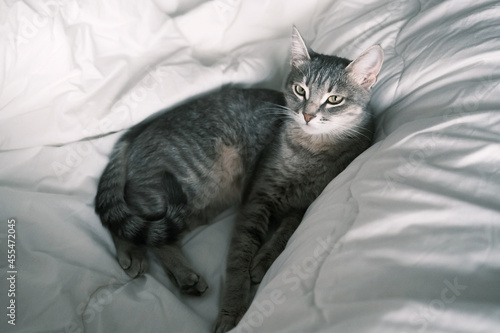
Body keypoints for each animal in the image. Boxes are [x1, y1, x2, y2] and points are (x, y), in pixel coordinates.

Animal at [94, 26, 382, 332]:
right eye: (300, 90)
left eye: (334, 99)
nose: (307, 114)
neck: (309, 150)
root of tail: (139, 130)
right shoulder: (256, 199)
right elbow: (239, 257)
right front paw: (232, 312)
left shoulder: (303, 205)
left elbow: (285, 233)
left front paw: (263, 261)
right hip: (194, 185)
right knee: (130, 218)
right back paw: (135, 254)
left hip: (203, 204)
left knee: (157, 234)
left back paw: (182, 276)